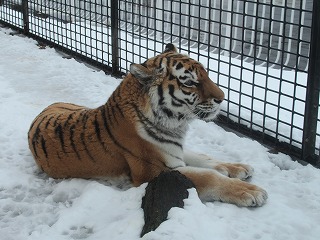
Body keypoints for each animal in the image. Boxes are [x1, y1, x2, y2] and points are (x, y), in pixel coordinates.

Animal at [28, 43, 268, 206]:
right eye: (190, 82)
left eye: (206, 73)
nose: (222, 98)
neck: (175, 124)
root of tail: (50, 105)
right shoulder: (155, 171)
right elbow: (207, 176)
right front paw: (250, 191)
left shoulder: (175, 150)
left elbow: (205, 159)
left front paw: (237, 167)